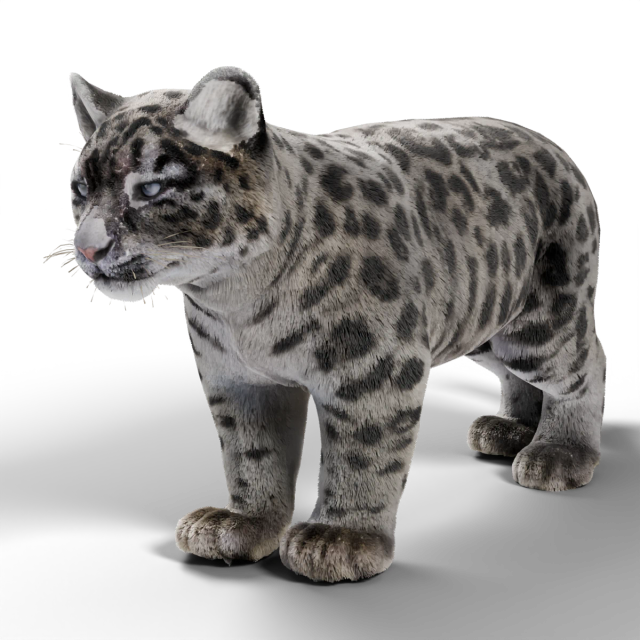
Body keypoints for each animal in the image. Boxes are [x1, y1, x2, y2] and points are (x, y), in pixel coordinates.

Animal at [60, 64, 607, 582]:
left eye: (150, 189)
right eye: (82, 188)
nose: (87, 248)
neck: (234, 298)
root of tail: (555, 148)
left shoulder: (373, 373)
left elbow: (364, 453)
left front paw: (340, 538)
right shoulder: (237, 381)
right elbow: (251, 453)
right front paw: (245, 522)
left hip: (541, 324)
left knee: (589, 365)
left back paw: (558, 452)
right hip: (488, 322)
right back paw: (511, 428)